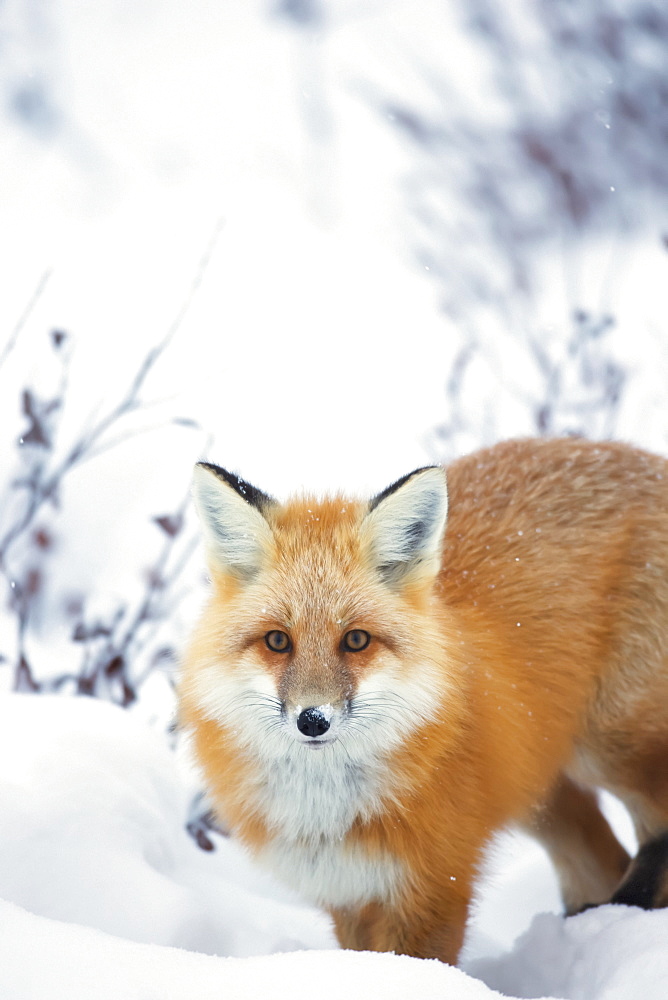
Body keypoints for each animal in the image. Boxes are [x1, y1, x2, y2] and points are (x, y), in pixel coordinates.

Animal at [179, 440, 668, 968]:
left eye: (356, 640)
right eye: (277, 641)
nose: (312, 720)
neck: (329, 811)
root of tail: (645, 460)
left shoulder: (436, 886)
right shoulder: (348, 890)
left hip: (612, 749)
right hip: (540, 787)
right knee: (602, 861)